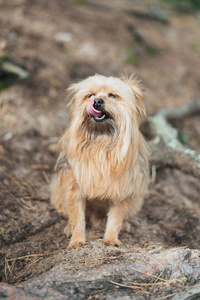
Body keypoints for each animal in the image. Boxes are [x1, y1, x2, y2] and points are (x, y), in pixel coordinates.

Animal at [50, 74, 149, 248]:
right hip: (58, 192)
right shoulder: (74, 187)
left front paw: (111, 239)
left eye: (113, 95)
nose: (97, 101)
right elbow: (77, 217)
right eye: (90, 95)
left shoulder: (122, 191)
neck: (101, 139)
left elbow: (115, 219)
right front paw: (77, 240)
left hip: (136, 199)